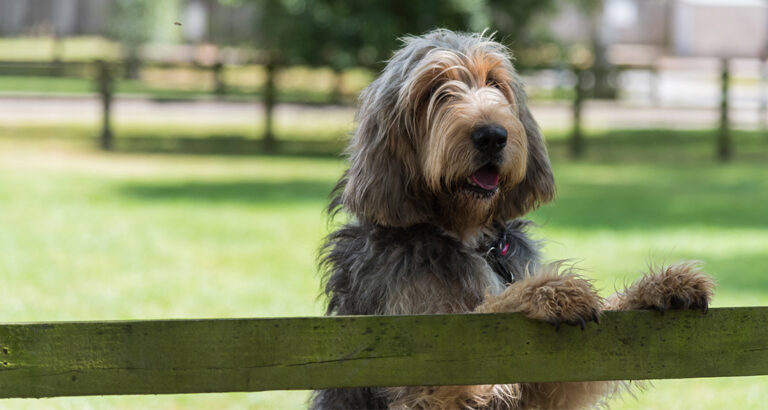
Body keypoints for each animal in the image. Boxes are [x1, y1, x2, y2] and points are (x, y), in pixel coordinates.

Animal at [308, 29, 716, 410]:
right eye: (434, 89)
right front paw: (546, 292)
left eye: (494, 82)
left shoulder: (543, 384)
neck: (469, 236)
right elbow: (484, 313)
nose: (492, 135)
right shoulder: (418, 366)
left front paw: (660, 286)